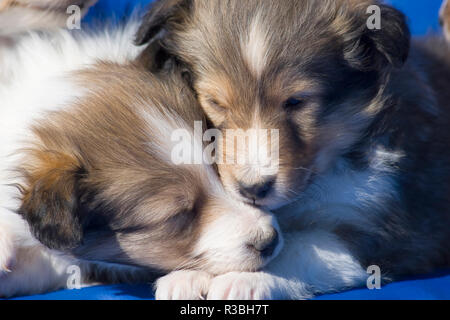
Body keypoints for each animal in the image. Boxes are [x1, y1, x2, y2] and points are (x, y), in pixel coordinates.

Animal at [135, 0, 450, 300]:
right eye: (216, 102)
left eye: (296, 101)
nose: (252, 189)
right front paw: (186, 276)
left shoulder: (375, 228)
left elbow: (295, 247)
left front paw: (241, 278)